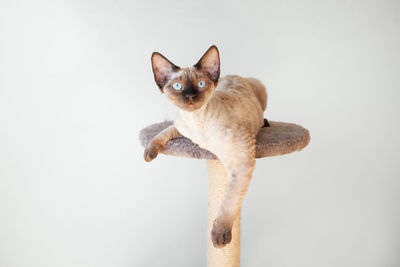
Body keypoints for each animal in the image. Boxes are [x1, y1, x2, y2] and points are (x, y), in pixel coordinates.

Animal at [144, 45, 268, 249]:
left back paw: (267, 123)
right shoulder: (179, 126)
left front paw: (219, 236)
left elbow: (229, 200)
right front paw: (148, 153)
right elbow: (161, 133)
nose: (190, 96)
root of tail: (235, 75)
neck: (196, 123)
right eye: (177, 86)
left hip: (261, 88)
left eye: (201, 84)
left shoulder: (241, 158)